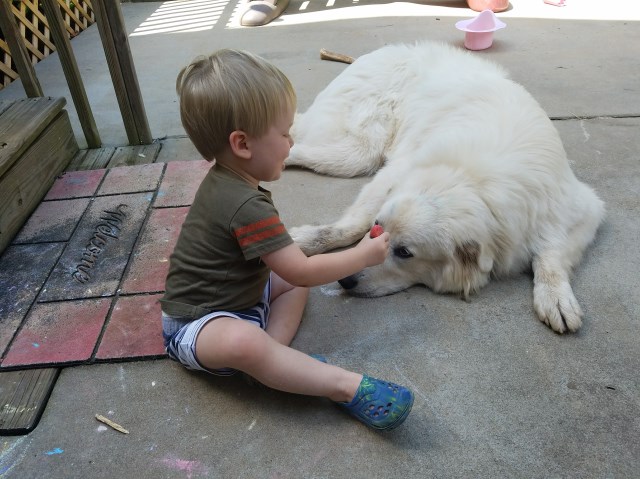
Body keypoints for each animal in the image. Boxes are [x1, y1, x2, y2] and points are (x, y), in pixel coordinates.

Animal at [288, 42, 604, 334]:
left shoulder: (583, 209)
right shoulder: (398, 171)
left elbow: (552, 254)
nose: (345, 279)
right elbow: (353, 223)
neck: (471, 177)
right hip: (357, 150)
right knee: (298, 141)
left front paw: (555, 296)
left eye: (404, 252)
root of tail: (392, 49)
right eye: (377, 228)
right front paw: (309, 239)